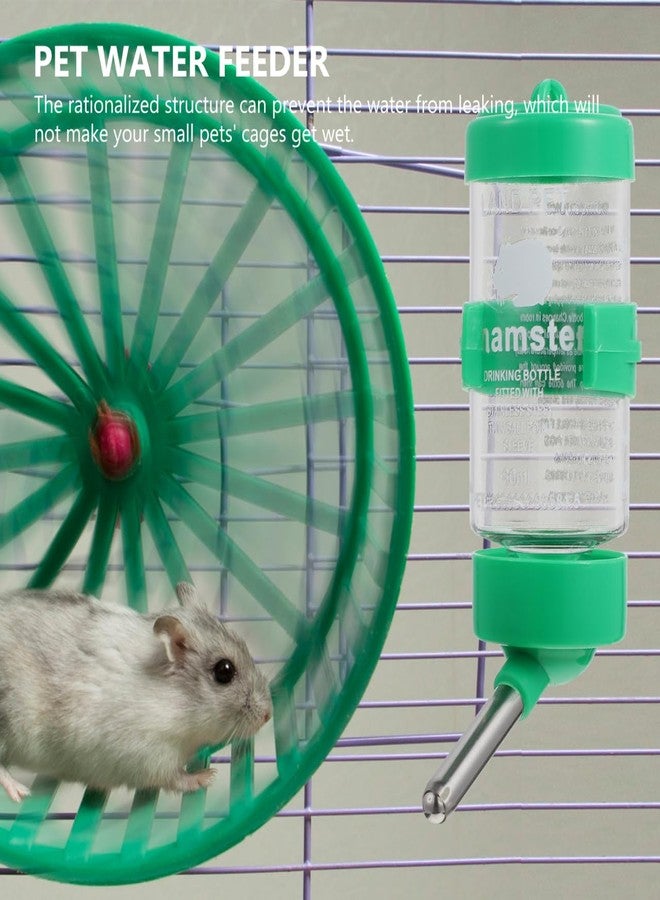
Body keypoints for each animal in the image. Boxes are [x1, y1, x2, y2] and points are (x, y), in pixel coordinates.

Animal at [0, 582, 272, 802]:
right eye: (224, 671)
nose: (268, 715)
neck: (179, 708)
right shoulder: (148, 756)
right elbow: (175, 778)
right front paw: (207, 776)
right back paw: (20, 793)